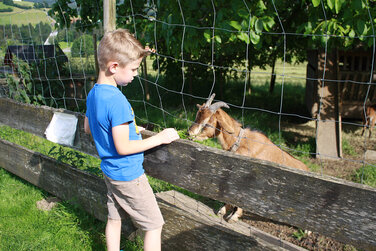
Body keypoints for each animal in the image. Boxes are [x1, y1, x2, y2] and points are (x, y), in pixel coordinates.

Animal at [188, 93, 308, 222]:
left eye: (207, 122)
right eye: (197, 116)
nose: (189, 133)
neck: (239, 141)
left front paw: (234, 216)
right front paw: (224, 210)